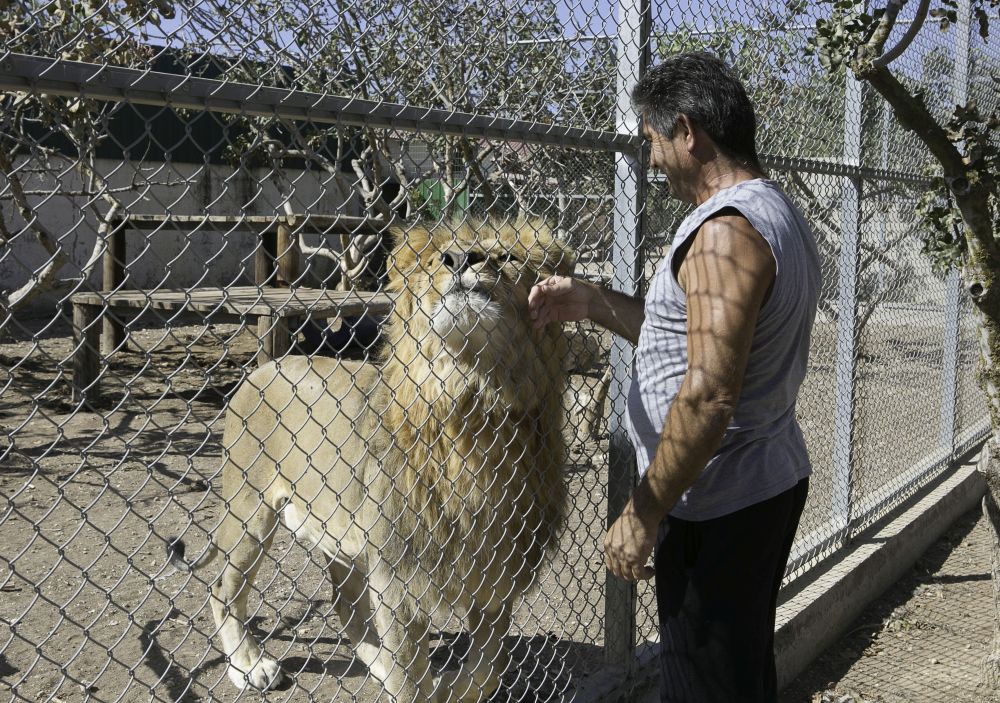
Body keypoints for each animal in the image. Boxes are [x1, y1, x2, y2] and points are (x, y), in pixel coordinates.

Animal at [167, 220, 576, 703]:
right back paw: (250, 666)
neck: (472, 403)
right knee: (222, 590)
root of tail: (264, 367)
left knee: (346, 607)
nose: (459, 258)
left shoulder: (497, 575)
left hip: (338, 533)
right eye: (435, 259)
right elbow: (412, 680)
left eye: (506, 257)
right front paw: (422, 685)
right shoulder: (397, 577)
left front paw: (449, 685)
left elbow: (486, 671)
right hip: (250, 511)